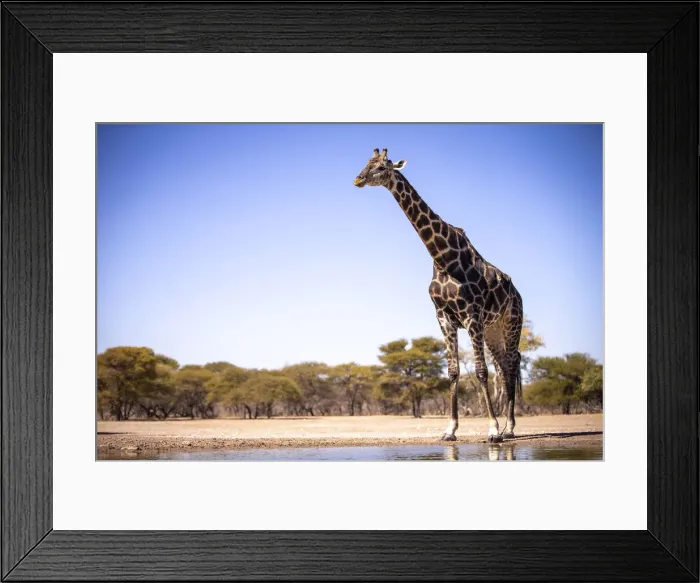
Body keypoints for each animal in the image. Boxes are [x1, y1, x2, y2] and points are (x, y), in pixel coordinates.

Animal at [354, 148, 524, 442]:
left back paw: (509, 428)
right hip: (493, 329)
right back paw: (506, 427)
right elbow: (453, 371)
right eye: (367, 163)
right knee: (503, 366)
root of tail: (518, 294)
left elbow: (480, 371)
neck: (443, 258)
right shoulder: (444, 317)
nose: (358, 179)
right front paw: (450, 430)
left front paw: (491, 430)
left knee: (512, 364)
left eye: (382, 166)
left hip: (511, 322)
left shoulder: (471, 316)